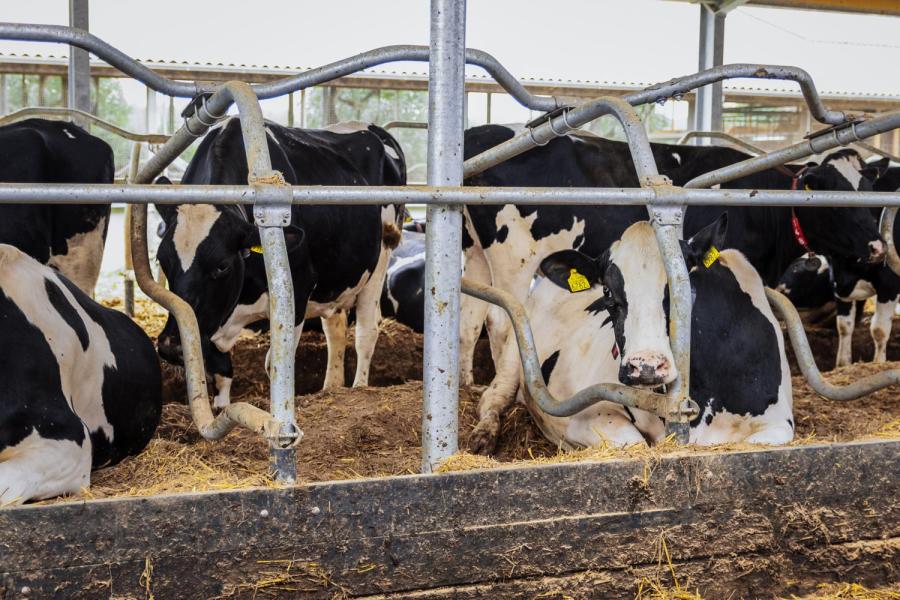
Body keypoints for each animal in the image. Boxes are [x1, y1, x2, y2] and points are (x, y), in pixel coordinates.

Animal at [156, 118, 406, 408]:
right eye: (162, 260)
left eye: (222, 266)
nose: (170, 346)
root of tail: (374, 129)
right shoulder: (216, 315)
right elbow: (221, 369)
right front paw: (220, 409)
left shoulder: (297, 290)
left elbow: (274, 364)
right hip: (336, 277)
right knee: (335, 330)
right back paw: (331, 388)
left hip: (381, 257)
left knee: (366, 332)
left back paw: (358, 388)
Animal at [528, 217, 796, 450]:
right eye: (607, 291)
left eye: (684, 285)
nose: (646, 366)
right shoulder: (587, 416)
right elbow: (634, 442)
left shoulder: (779, 423)